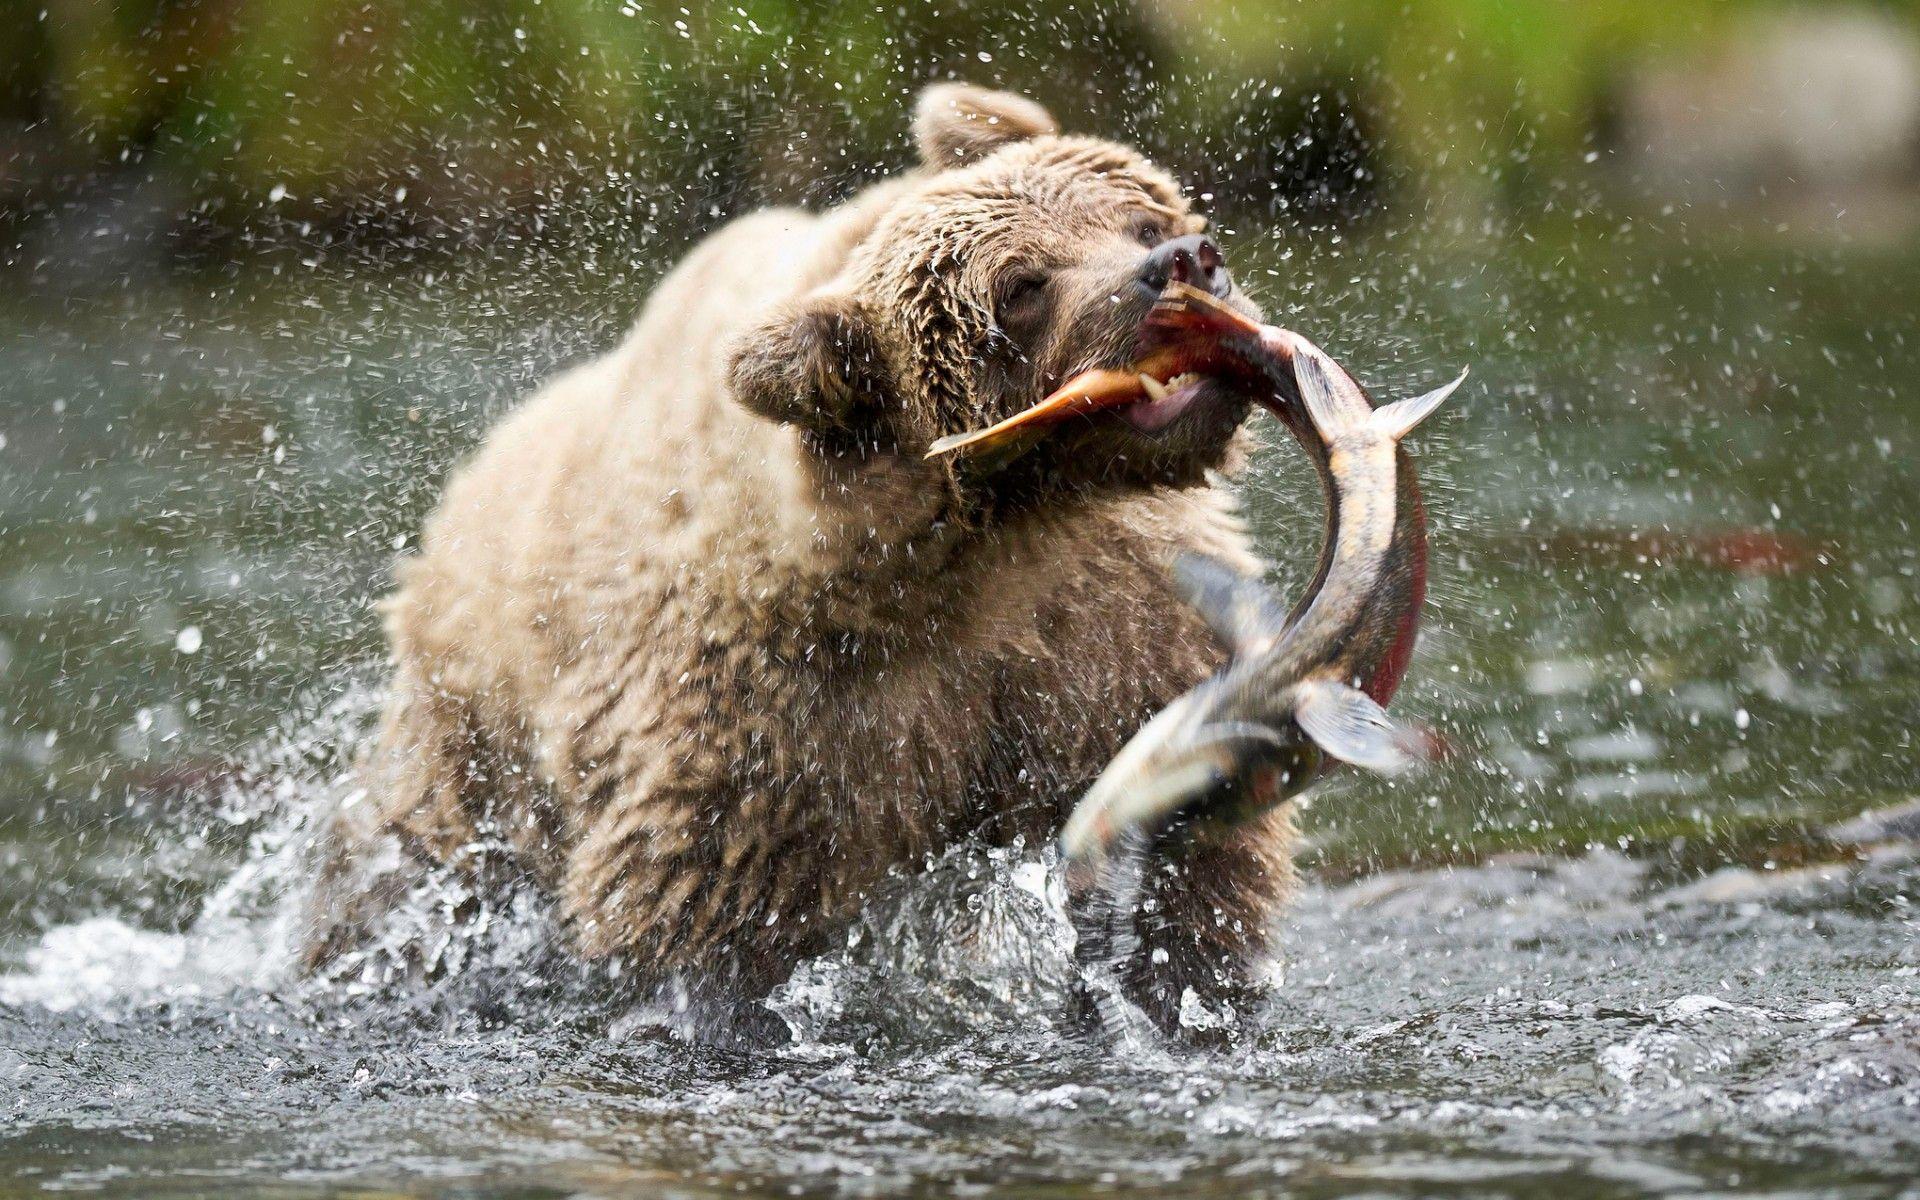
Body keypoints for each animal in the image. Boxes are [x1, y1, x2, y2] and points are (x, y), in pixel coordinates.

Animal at [309, 83, 1299, 1031]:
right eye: (1021, 286)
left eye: (1141, 219)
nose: (1183, 262)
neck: (987, 544)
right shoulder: (771, 721)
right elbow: (691, 913)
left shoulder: (1120, 626)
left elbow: (1203, 849)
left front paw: (1184, 981)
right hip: (470, 741)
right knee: (395, 872)